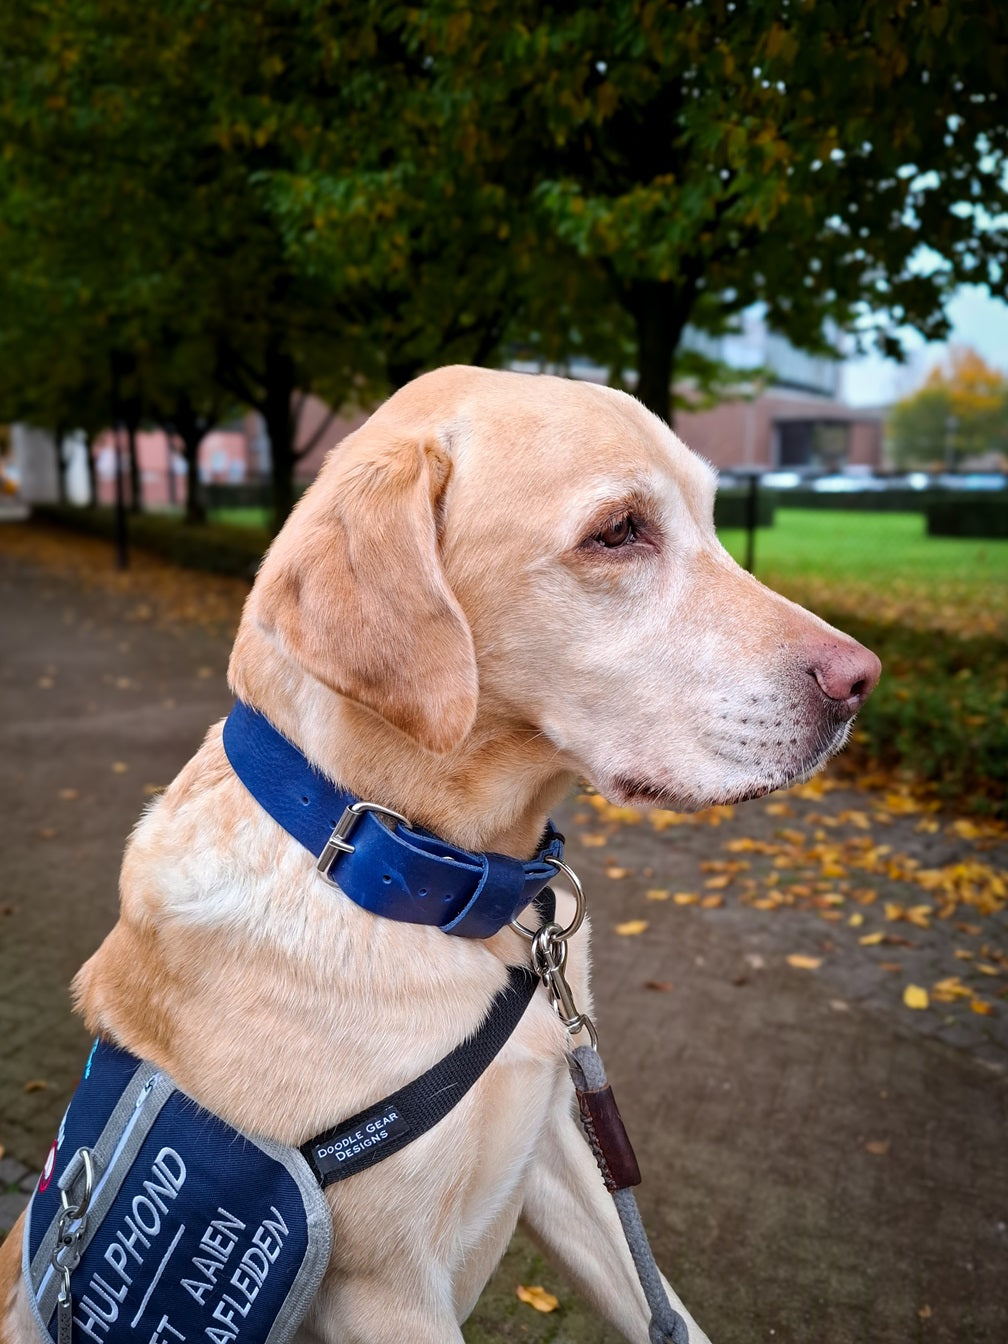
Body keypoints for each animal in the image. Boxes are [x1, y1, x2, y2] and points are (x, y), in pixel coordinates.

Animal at [0, 362, 881, 1338]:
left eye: (714, 519)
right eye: (618, 531)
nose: (863, 682)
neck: (415, 880)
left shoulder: (563, 1146)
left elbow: (669, 1313)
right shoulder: (383, 1293)